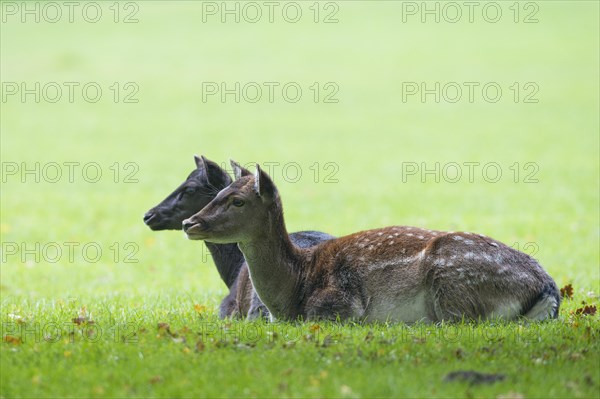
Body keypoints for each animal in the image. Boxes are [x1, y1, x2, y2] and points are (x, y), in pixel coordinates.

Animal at [183, 161, 564, 324]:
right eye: (217, 192)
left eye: (237, 200)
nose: (189, 222)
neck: (294, 287)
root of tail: (548, 288)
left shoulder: (338, 305)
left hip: (454, 286)